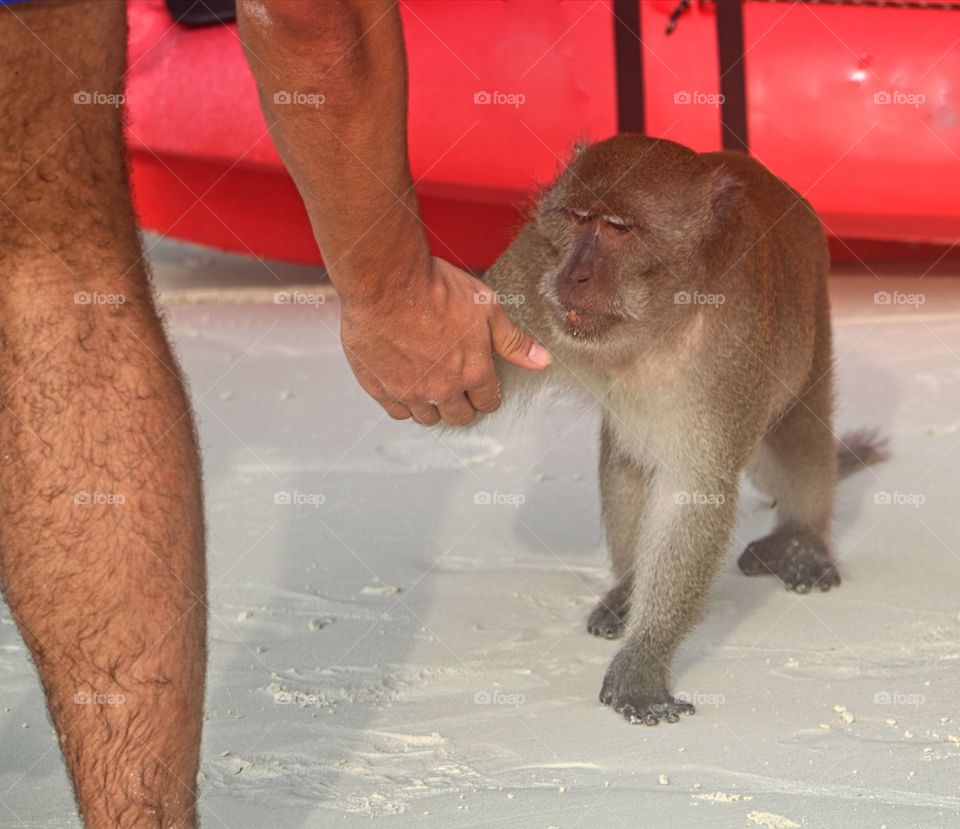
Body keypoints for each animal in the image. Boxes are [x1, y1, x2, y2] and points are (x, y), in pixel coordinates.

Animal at [479, 133, 887, 725]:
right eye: (578, 219)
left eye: (617, 229)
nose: (574, 276)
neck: (657, 318)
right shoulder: (533, 272)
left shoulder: (731, 343)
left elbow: (694, 493)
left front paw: (644, 661)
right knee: (626, 457)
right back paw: (628, 588)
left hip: (814, 310)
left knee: (798, 429)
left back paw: (801, 539)